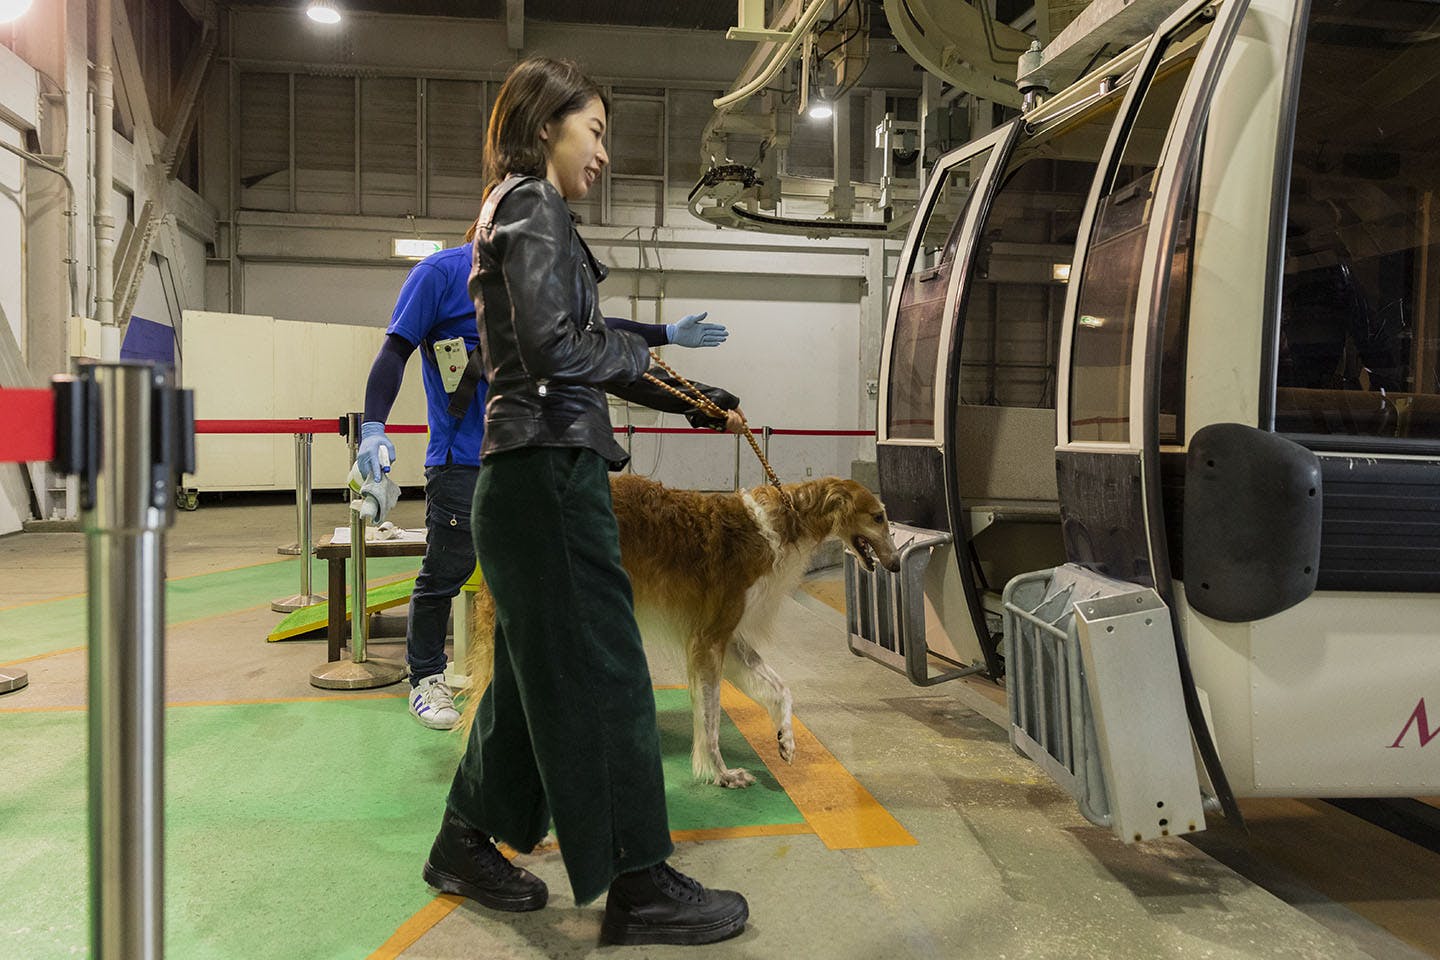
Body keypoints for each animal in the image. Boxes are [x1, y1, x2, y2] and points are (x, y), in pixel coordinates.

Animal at [463, 477, 898, 788]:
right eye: (878, 516)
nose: (894, 564)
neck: (778, 525)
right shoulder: (707, 641)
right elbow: (709, 721)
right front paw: (720, 773)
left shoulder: (727, 635)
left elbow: (780, 688)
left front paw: (785, 739)